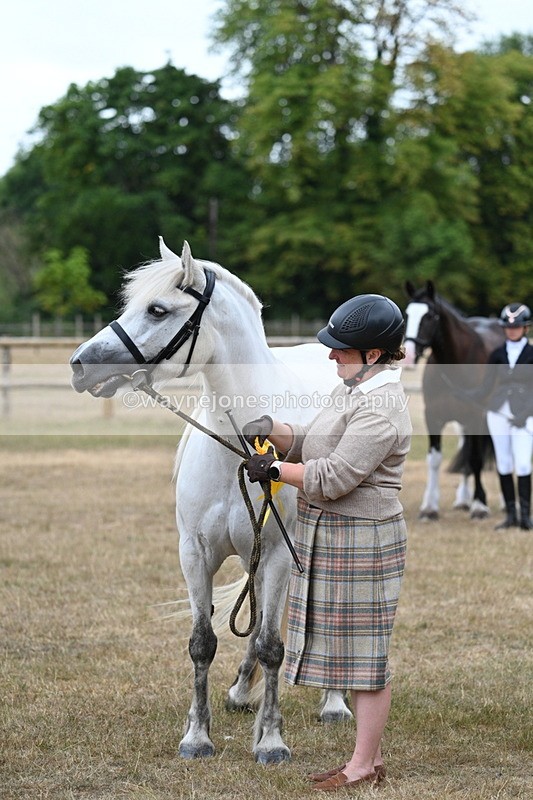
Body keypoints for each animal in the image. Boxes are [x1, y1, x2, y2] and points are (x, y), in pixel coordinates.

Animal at [69, 238, 352, 764]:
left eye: (158, 309)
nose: (80, 364)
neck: (237, 449)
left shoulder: (279, 553)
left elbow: (273, 645)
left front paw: (272, 741)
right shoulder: (196, 554)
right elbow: (204, 643)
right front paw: (197, 736)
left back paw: (335, 702)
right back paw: (242, 692)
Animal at [403, 280, 505, 520]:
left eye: (430, 316)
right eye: (407, 314)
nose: (409, 355)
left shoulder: (476, 417)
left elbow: (476, 459)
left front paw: (480, 505)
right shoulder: (433, 417)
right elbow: (434, 460)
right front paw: (429, 507)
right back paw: (462, 500)